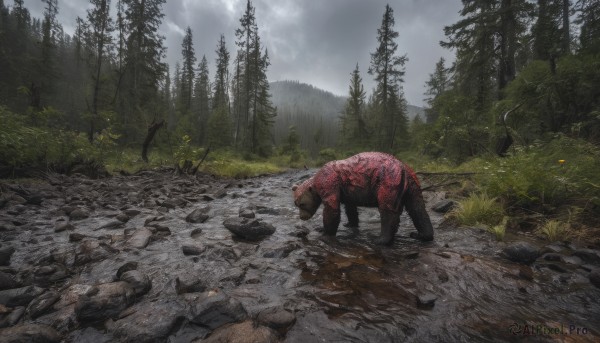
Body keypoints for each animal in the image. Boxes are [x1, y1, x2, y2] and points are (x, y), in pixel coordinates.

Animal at [292, 153, 434, 245]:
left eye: (302, 204)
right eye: (296, 204)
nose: (302, 217)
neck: (316, 181)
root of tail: (403, 168)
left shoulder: (329, 183)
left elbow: (332, 208)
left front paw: (325, 234)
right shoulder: (346, 190)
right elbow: (350, 207)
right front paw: (349, 224)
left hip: (388, 181)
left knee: (388, 210)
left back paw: (381, 240)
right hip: (412, 184)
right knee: (417, 208)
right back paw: (421, 235)